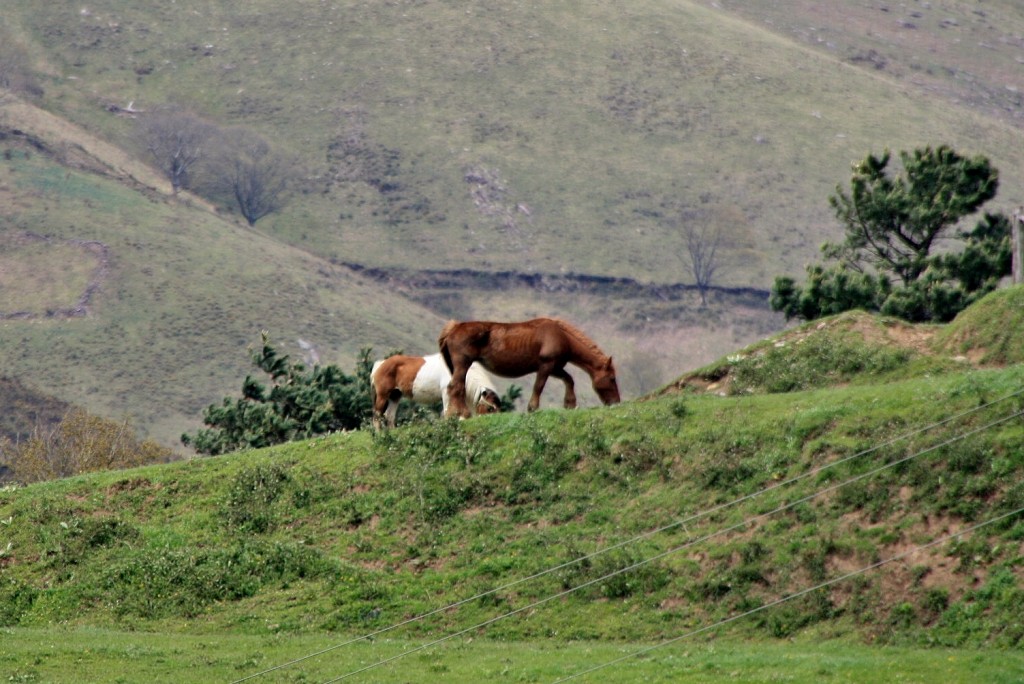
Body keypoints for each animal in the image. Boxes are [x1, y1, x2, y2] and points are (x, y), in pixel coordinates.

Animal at [370, 352, 501, 428]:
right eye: (490, 408)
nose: (494, 421)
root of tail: (381, 364)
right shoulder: (447, 393)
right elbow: (448, 411)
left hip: (395, 395)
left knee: (389, 416)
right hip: (382, 395)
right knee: (377, 415)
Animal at [438, 315, 618, 417]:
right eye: (612, 378)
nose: (616, 402)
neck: (561, 336)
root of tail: (454, 328)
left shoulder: (555, 368)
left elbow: (569, 380)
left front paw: (570, 404)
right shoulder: (546, 366)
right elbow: (539, 387)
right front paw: (533, 409)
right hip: (463, 363)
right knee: (455, 387)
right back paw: (460, 414)